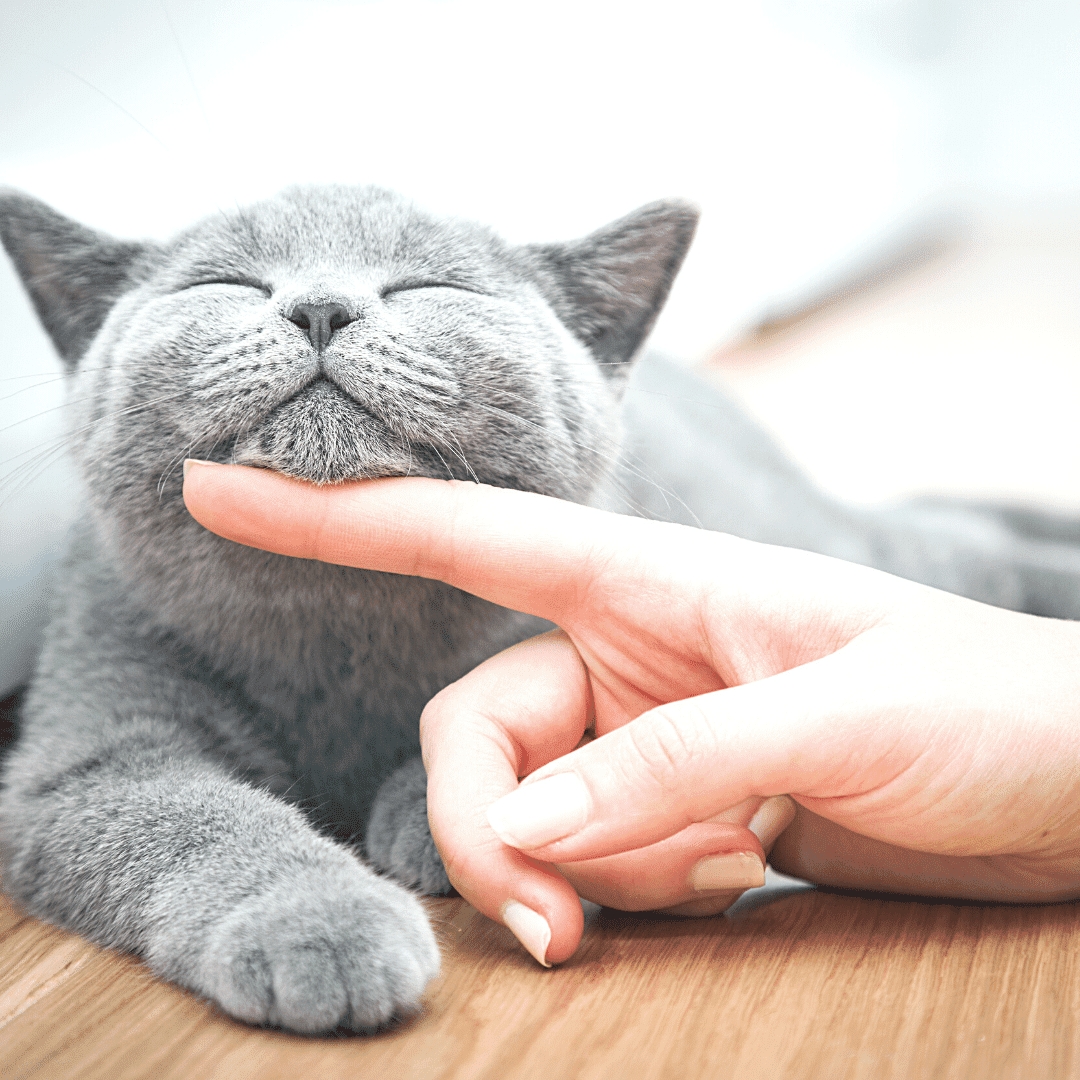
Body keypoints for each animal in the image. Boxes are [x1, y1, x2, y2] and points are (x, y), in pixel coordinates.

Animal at [2, 185, 1080, 1036]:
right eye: (223, 283)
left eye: (428, 288)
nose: (320, 306)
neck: (334, 622)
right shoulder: (86, 751)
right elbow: (196, 817)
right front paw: (319, 923)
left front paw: (428, 817)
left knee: (947, 544)